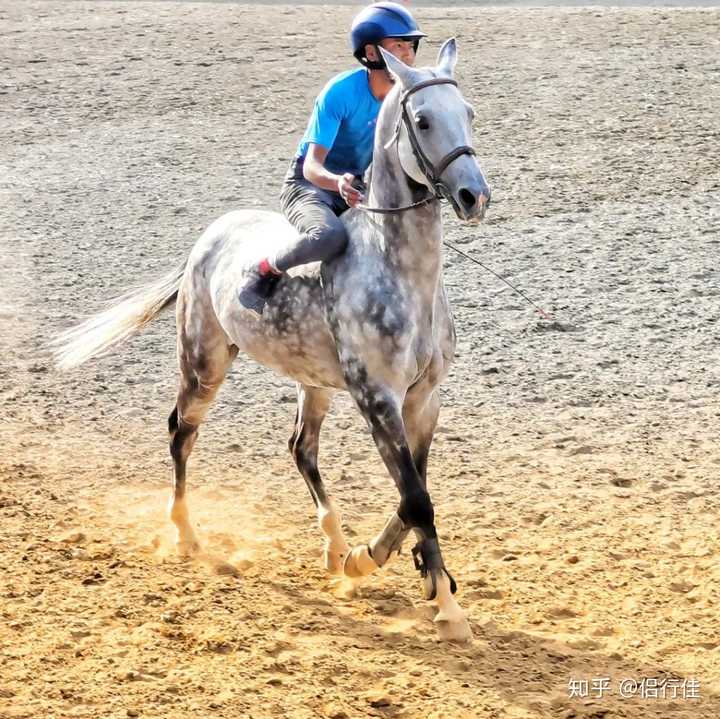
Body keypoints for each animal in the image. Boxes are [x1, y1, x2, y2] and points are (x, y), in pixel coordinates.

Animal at [56, 42, 492, 644]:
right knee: (181, 433)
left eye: (469, 113)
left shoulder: (423, 400)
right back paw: (187, 536)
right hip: (205, 363)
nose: (475, 196)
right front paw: (443, 605)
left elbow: (414, 496)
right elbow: (417, 500)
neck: (402, 274)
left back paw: (334, 547)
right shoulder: (377, 399)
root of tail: (208, 238)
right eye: (423, 121)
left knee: (301, 448)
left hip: (314, 383)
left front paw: (399, 569)